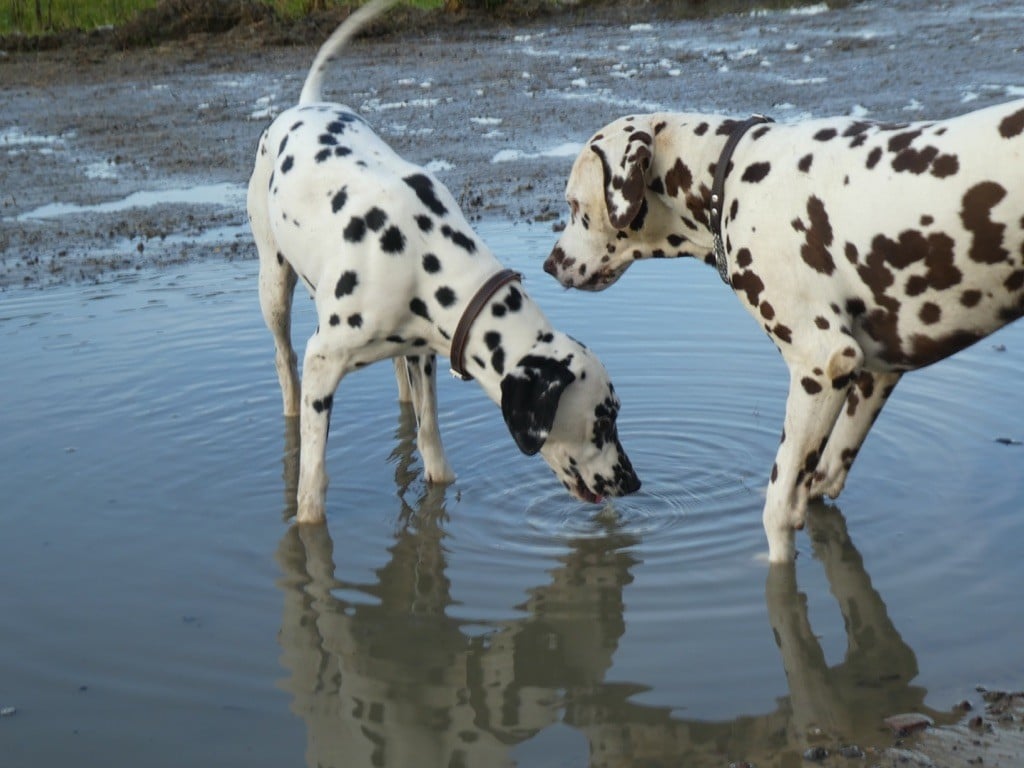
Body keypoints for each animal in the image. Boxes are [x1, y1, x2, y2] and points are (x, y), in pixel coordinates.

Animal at [248, 0, 638, 524]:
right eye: (602, 420)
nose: (633, 482)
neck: (417, 253)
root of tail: (306, 104)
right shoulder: (323, 364)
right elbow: (312, 481)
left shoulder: (424, 354)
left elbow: (430, 444)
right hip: (274, 286)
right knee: (283, 360)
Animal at [544, 99, 1024, 561]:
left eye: (574, 205)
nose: (550, 264)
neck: (732, 178)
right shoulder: (872, 375)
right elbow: (820, 485)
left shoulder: (821, 367)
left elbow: (777, 510)